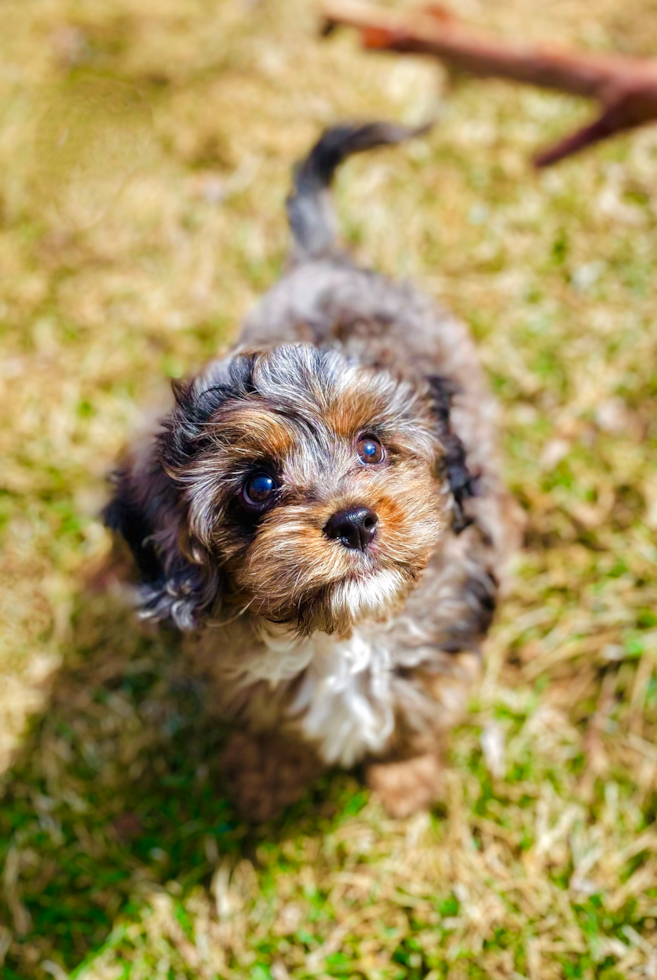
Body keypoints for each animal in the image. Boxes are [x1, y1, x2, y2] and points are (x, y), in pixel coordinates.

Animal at [106, 124, 516, 828]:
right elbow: (272, 727)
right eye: (259, 486)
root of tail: (320, 259)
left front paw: (406, 778)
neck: (344, 635)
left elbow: (422, 712)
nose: (354, 522)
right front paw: (266, 779)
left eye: (372, 447)